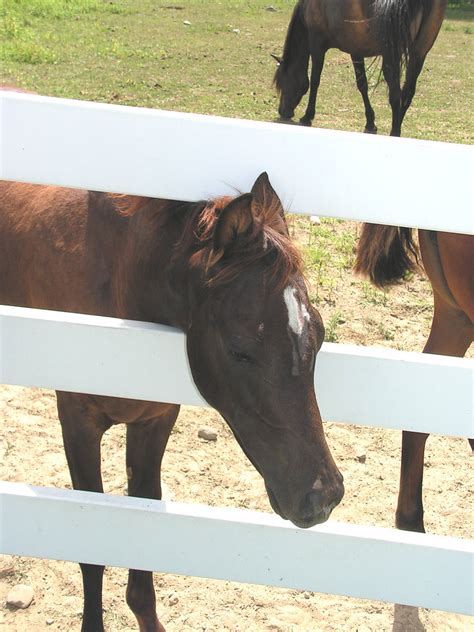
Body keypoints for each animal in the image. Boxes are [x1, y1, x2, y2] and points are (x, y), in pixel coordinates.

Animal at [0, 174, 342, 632]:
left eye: (318, 336)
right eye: (239, 350)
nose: (323, 496)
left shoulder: (154, 420)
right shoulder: (77, 422)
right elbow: (91, 550)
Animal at [274, 0, 448, 136]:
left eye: (282, 82)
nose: (282, 112)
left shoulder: (317, 44)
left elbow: (315, 81)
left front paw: (307, 116)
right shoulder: (356, 50)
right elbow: (362, 85)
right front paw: (370, 123)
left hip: (392, 54)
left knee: (396, 93)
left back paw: (394, 132)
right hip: (419, 52)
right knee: (407, 93)